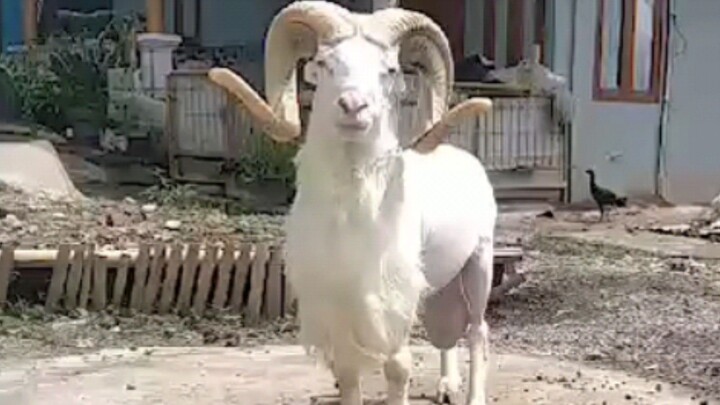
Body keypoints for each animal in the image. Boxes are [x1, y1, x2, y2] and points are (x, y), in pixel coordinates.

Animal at [207, 2, 497, 404]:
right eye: (325, 63)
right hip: (442, 285)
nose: (353, 105)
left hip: (479, 266)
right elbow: (346, 374)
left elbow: (398, 368)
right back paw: (446, 386)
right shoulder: (338, 308)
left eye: (389, 69)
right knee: (447, 338)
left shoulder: (392, 303)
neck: (350, 212)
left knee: (477, 332)